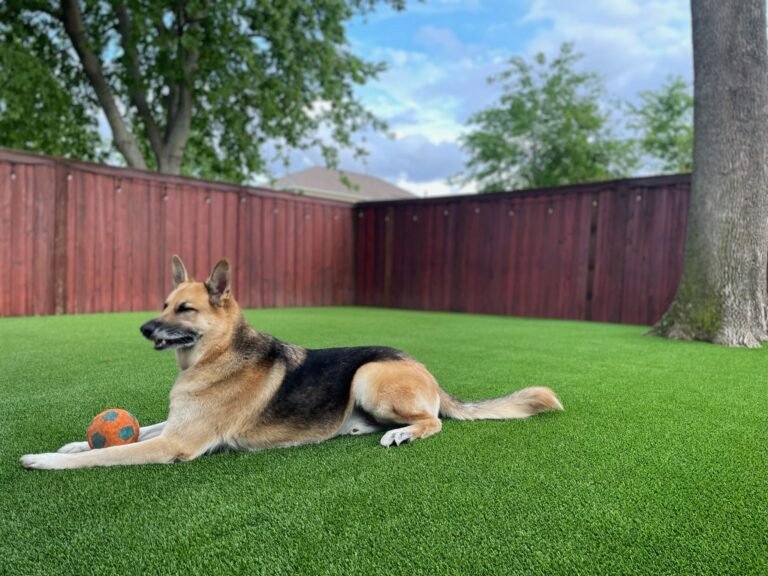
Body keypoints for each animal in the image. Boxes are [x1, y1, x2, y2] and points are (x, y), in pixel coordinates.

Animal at [21, 256, 560, 468]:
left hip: (369, 374)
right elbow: (125, 433)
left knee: (435, 421)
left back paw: (404, 433)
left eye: (185, 309)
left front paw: (45, 459)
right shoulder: (175, 425)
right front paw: (72, 443)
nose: (144, 329)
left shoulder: (177, 443)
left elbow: (104, 455)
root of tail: (423, 367)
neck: (215, 357)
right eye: (164, 303)